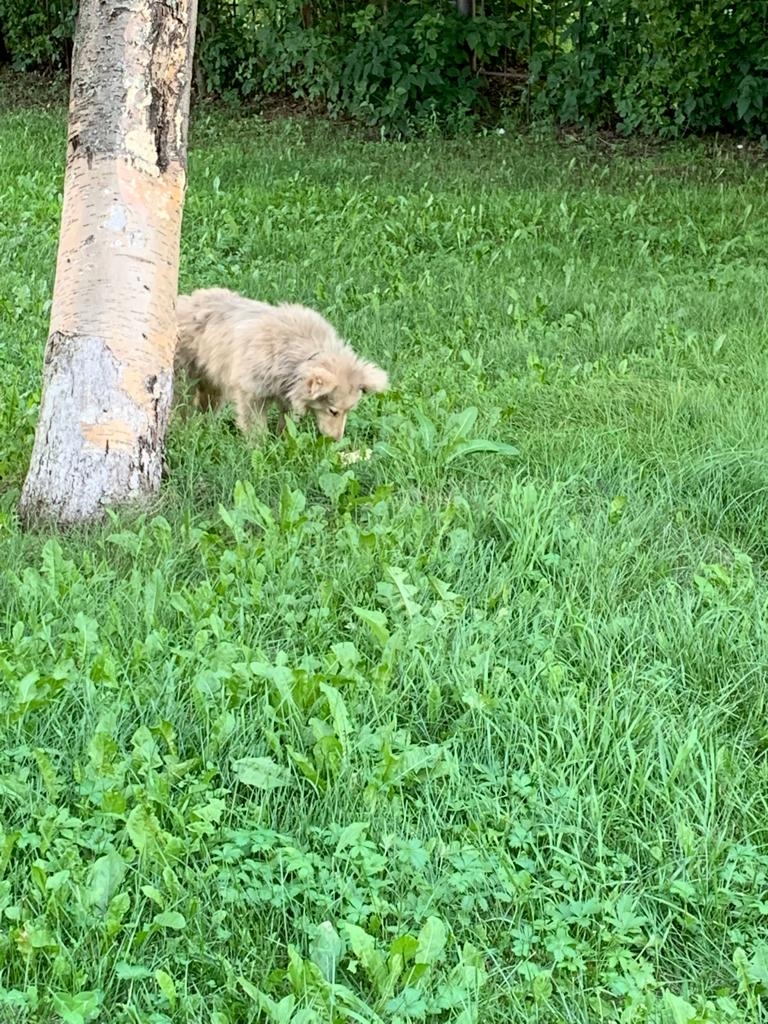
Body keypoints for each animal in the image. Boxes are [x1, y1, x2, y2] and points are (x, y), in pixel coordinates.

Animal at [177, 292, 387, 444]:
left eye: (348, 410)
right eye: (332, 411)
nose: (335, 440)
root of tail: (184, 300)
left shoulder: (287, 393)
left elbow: (287, 422)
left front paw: (282, 441)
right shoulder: (252, 392)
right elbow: (255, 425)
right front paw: (259, 446)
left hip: (213, 381)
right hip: (185, 377)